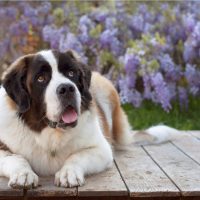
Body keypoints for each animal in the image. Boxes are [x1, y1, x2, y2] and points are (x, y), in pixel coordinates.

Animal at [0, 49, 179, 188]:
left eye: (71, 73)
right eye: (41, 78)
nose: (67, 88)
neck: (51, 134)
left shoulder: (102, 149)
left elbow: (77, 156)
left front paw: (68, 173)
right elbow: (15, 157)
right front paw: (23, 174)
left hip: (107, 88)